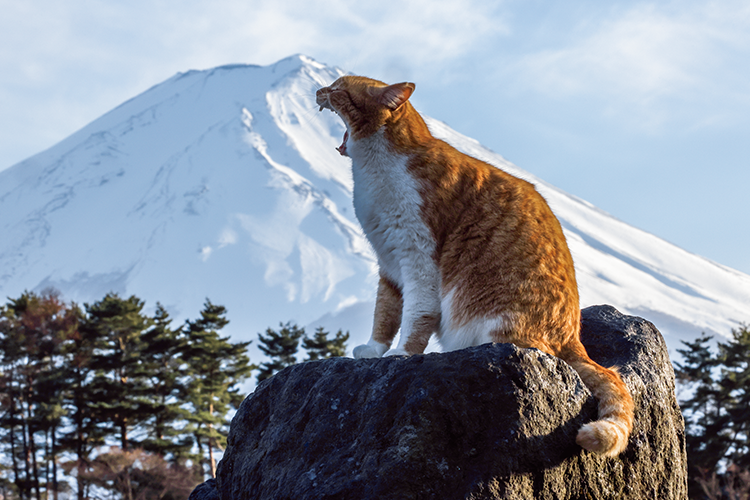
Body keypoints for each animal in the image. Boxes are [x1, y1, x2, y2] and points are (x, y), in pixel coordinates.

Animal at [316, 75, 636, 458]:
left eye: (339, 89)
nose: (318, 91)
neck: (372, 170)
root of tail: (574, 338)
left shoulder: (418, 255)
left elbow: (416, 315)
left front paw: (402, 354)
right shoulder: (389, 264)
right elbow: (385, 313)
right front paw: (374, 350)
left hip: (494, 318)